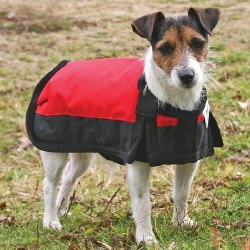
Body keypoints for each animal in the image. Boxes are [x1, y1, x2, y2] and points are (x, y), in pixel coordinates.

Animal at [27, 7, 222, 244]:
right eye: (165, 48)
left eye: (197, 43)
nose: (187, 76)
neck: (174, 103)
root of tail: (59, 69)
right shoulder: (137, 164)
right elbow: (142, 202)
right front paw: (146, 238)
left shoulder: (188, 158)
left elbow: (181, 193)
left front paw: (180, 222)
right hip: (53, 152)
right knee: (50, 184)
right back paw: (50, 220)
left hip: (81, 155)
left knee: (68, 179)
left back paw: (61, 209)